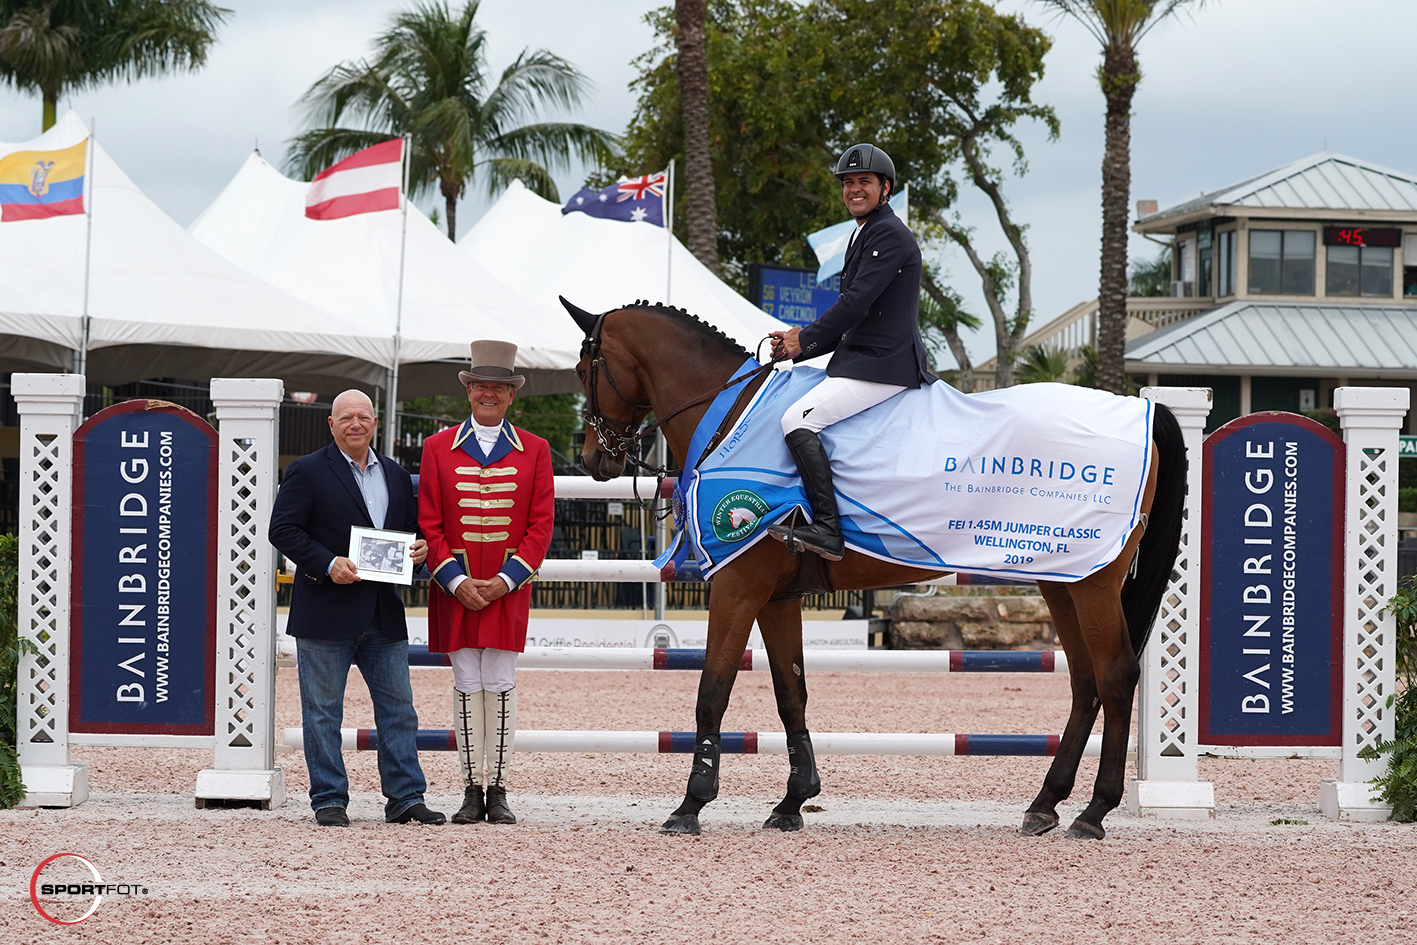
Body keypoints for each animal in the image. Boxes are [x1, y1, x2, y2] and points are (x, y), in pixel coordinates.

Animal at [561, 297, 1184, 844]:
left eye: (584, 369)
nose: (595, 459)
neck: (728, 413)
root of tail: (1144, 411)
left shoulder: (739, 587)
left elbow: (712, 690)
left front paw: (691, 804)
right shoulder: (777, 598)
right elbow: (791, 692)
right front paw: (793, 802)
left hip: (1094, 584)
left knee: (1115, 674)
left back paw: (1094, 812)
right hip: (1062, 581)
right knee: (1084, 682)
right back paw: (1045, 805)